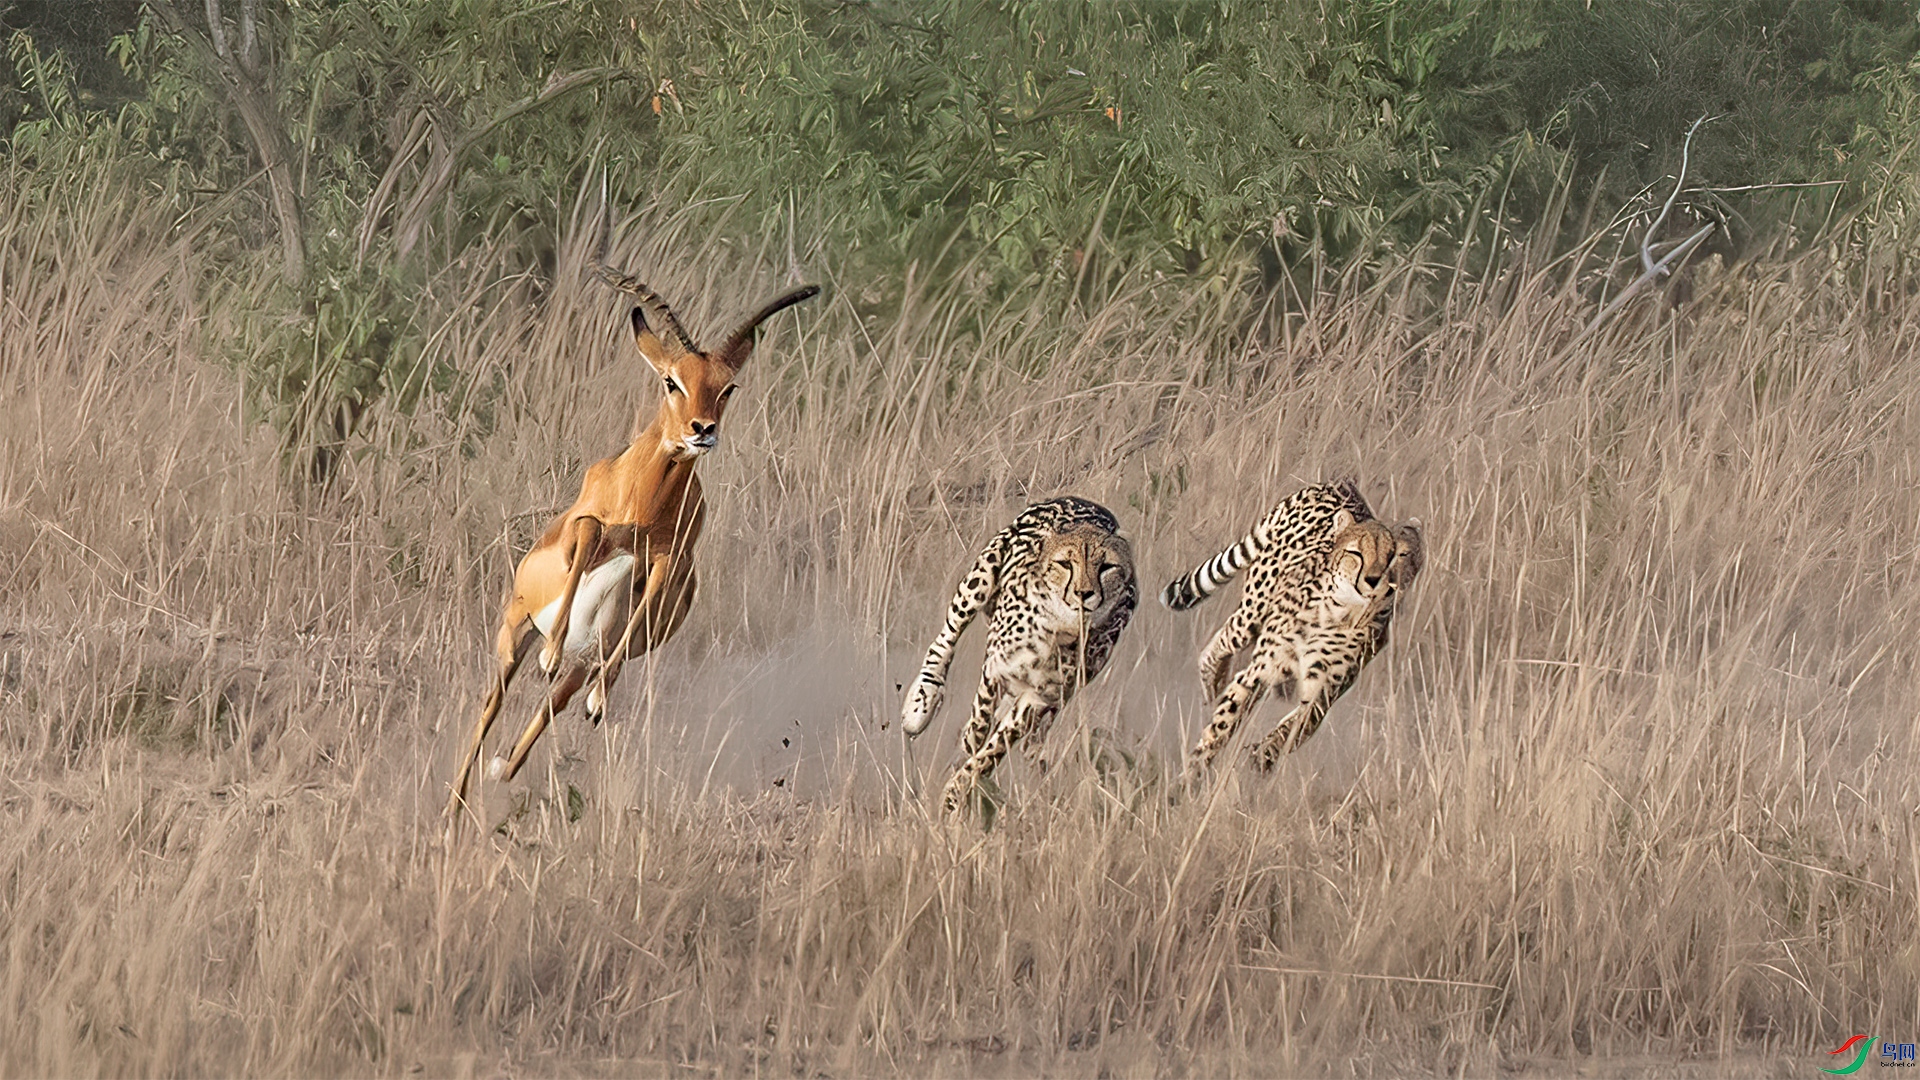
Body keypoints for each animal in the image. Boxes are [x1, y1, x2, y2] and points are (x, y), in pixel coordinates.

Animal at [445, 269, 818, 832]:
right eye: (671, 380)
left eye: (727, 387)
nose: (702, 431)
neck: (643, 502)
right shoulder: (585, 529)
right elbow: (588, 539)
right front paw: (551, 652)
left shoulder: (667, 562)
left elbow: (635, 616)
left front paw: (600, 702)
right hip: (512, 637)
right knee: (489, 709)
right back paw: (455, 806)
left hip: (584, 658)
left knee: (548, 707)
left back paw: (503, 767)